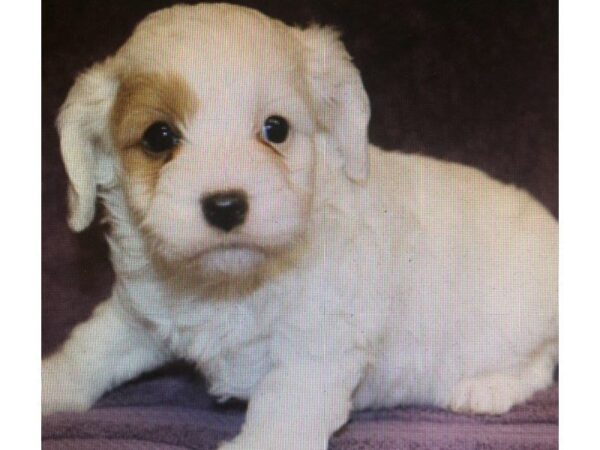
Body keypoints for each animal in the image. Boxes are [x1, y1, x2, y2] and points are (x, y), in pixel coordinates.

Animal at [42, 4, 556, 450]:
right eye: (158, 137)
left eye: (276, 129)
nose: (226, 206)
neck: (232, 284)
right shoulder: (135, 317)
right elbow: (88, 352)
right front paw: (46, 388)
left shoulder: (317, 346)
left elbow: (281, 417)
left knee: (541, 362)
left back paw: (486, 387)